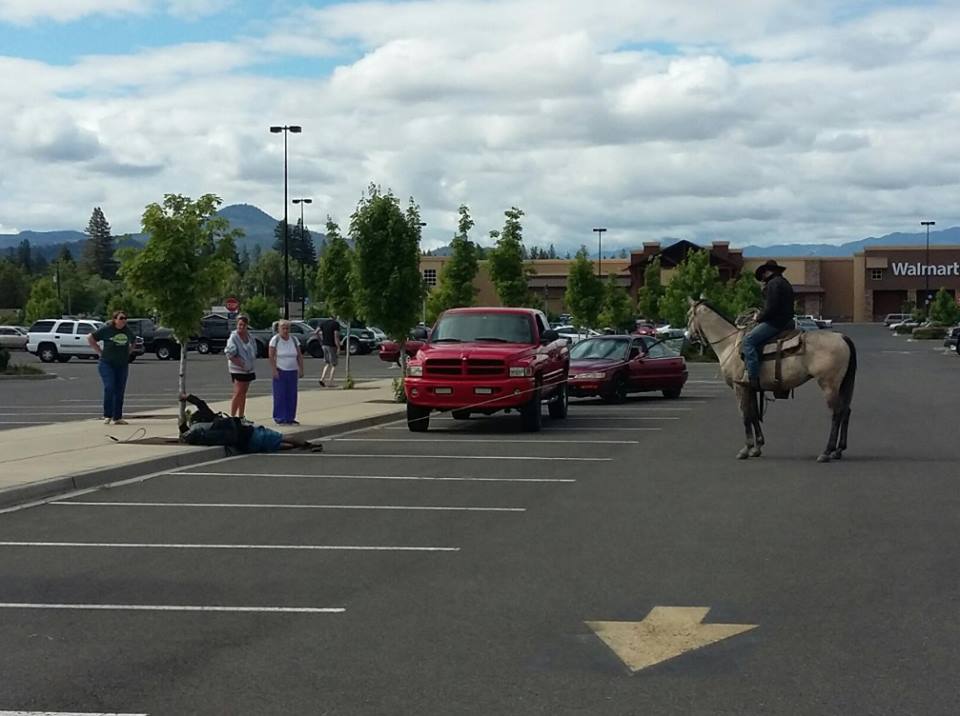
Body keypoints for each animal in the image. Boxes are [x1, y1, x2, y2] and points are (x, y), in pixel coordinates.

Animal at [688, 298, 860, 462]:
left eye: (689, 315)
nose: (688, 336)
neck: (730, 344)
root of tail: (842, 337)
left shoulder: (740, 387)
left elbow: (745, 415)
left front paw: (746, 449)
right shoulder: (751, 388)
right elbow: (753, 415)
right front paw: (757, 448)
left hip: (828, 385)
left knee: (836, 413)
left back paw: (826, 452)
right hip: (842, 385)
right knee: (845, 411)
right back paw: (838, 450)